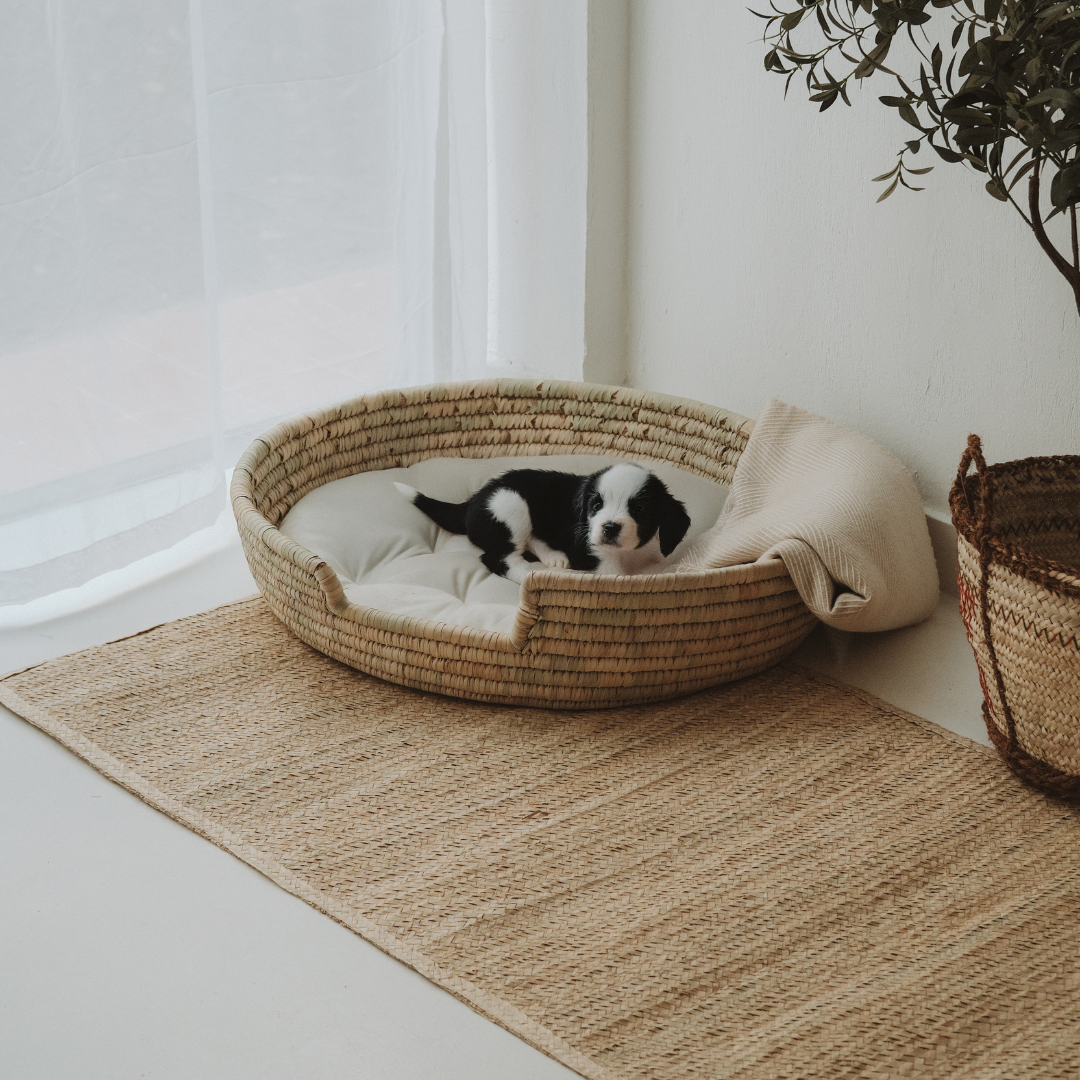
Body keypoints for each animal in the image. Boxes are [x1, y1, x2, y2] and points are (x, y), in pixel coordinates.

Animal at [397, 464, 691, 583]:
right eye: (596, 505)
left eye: (639, 510)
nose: (609, 527)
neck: (629, 555)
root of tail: (471, 501)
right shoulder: (597, 561)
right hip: (511, 504)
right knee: (500, 559)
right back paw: (528, 573)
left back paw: (553, 556)